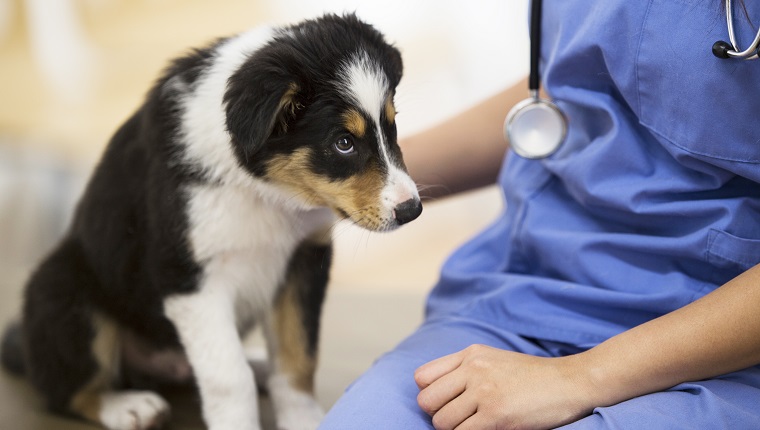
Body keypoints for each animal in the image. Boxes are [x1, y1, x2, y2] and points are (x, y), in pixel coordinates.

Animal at [0, 13, 422, 430]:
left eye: (392, 125)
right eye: (343, 143)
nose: (411, 210)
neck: (265, 192)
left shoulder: (304, 260)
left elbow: (297, 358)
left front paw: (302, 419)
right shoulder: (189, 276)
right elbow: (228, 377)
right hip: (61, 289)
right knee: (64, 391)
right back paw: (128, 407)